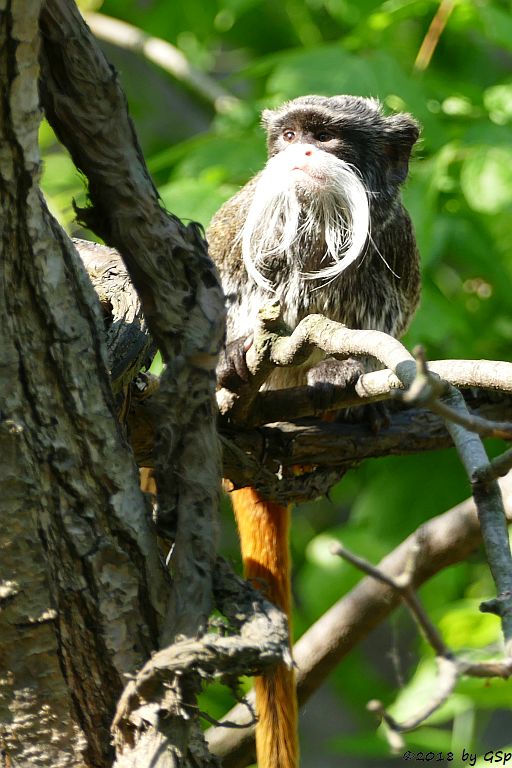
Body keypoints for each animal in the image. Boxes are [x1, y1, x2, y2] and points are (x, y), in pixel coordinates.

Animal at [207, 96, 420, 768]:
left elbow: (388, 310)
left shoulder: (396, 238)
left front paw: (346, 375)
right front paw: (227, 355)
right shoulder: (242, 220)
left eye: (327, 138)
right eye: (293, 134)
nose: (301, 151)